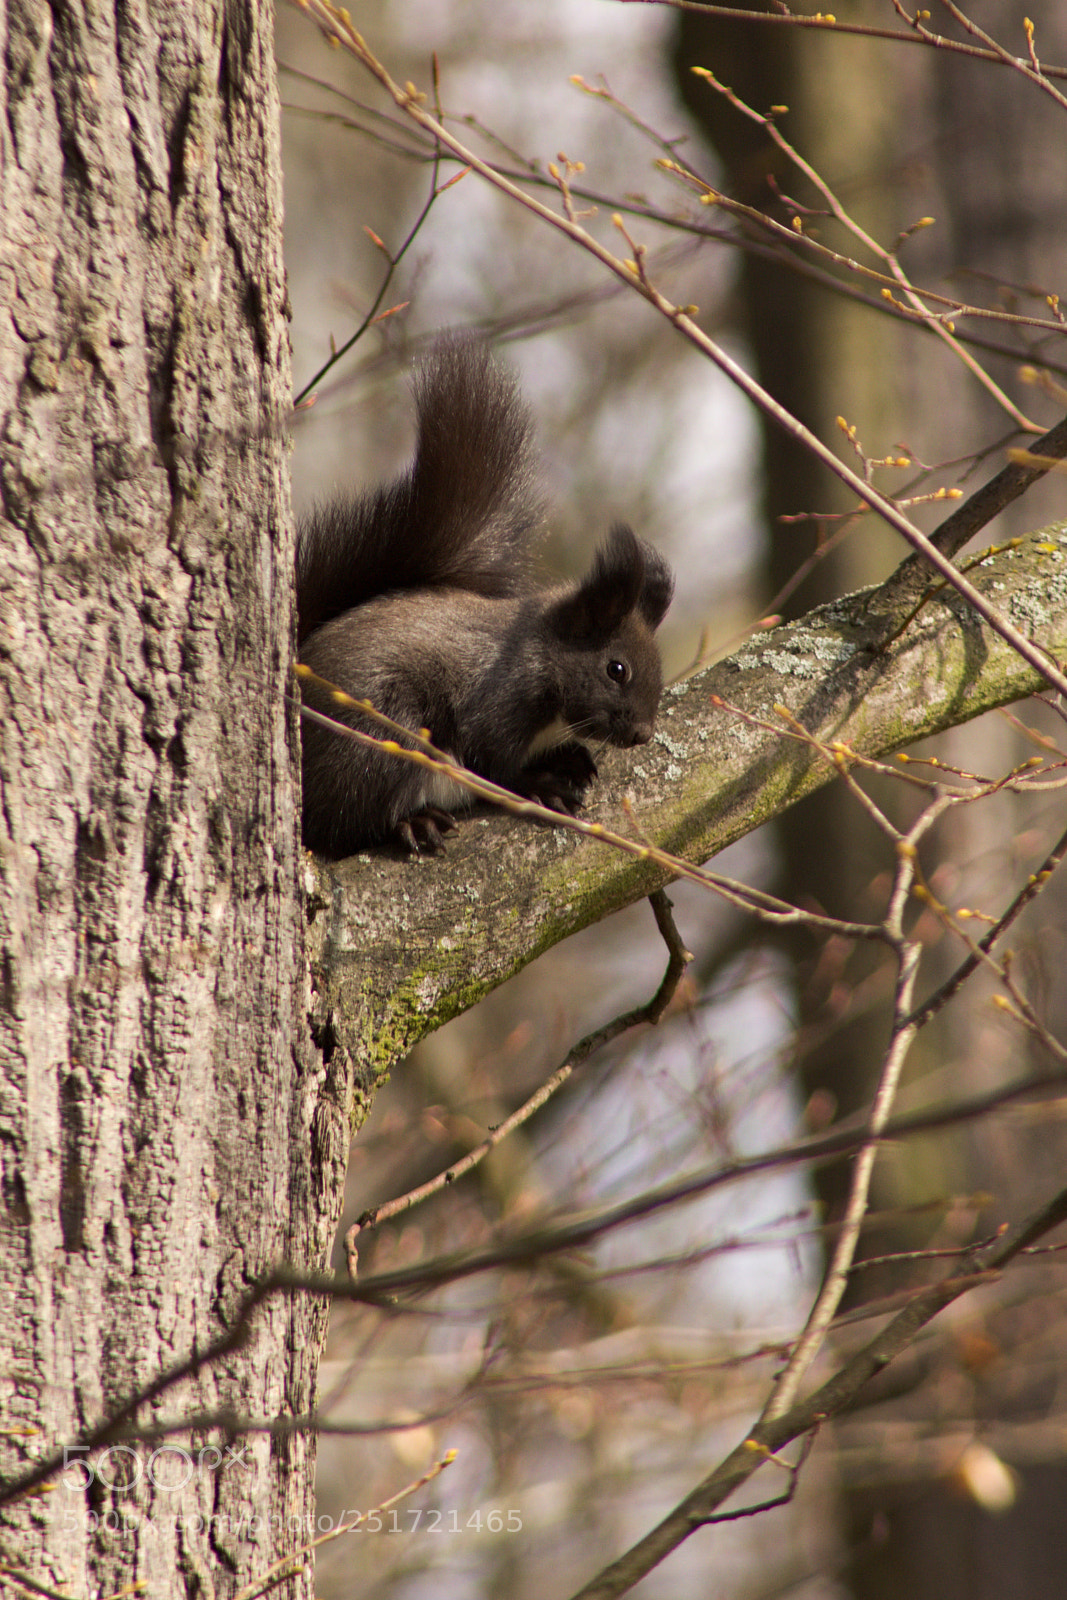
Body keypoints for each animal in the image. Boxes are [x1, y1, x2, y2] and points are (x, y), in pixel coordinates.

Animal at [296, 337, 674, 855]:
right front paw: (541, 781)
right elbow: (492, 767)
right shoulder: (496, 705)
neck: (541, 654)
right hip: (378, 730)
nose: (642, 734)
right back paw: (412, 823)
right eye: (616, 669)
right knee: (346, 821)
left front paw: (569, 758)